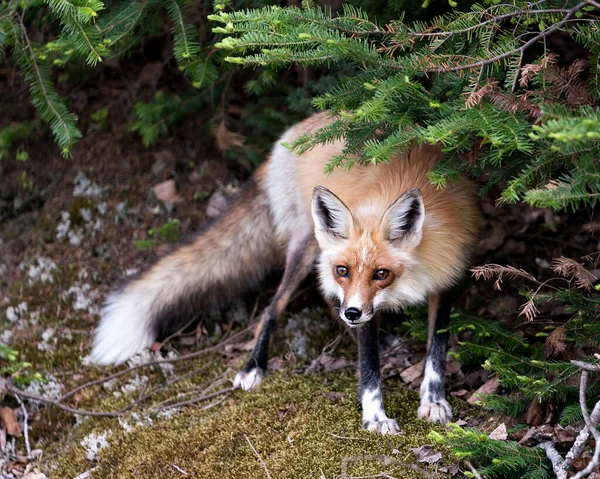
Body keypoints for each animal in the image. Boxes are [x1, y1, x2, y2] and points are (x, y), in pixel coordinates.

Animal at [92, 112, 478, 436]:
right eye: (345, 270)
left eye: (381, 273)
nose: (354, 313)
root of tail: (293, 133)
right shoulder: (353, 294)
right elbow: (369, 369)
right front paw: (375, 418)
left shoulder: (446, 279)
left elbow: (436, 352)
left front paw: (433, 401)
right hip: (306, 247)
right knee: (274, 308)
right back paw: (254, 366)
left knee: (325, 298)